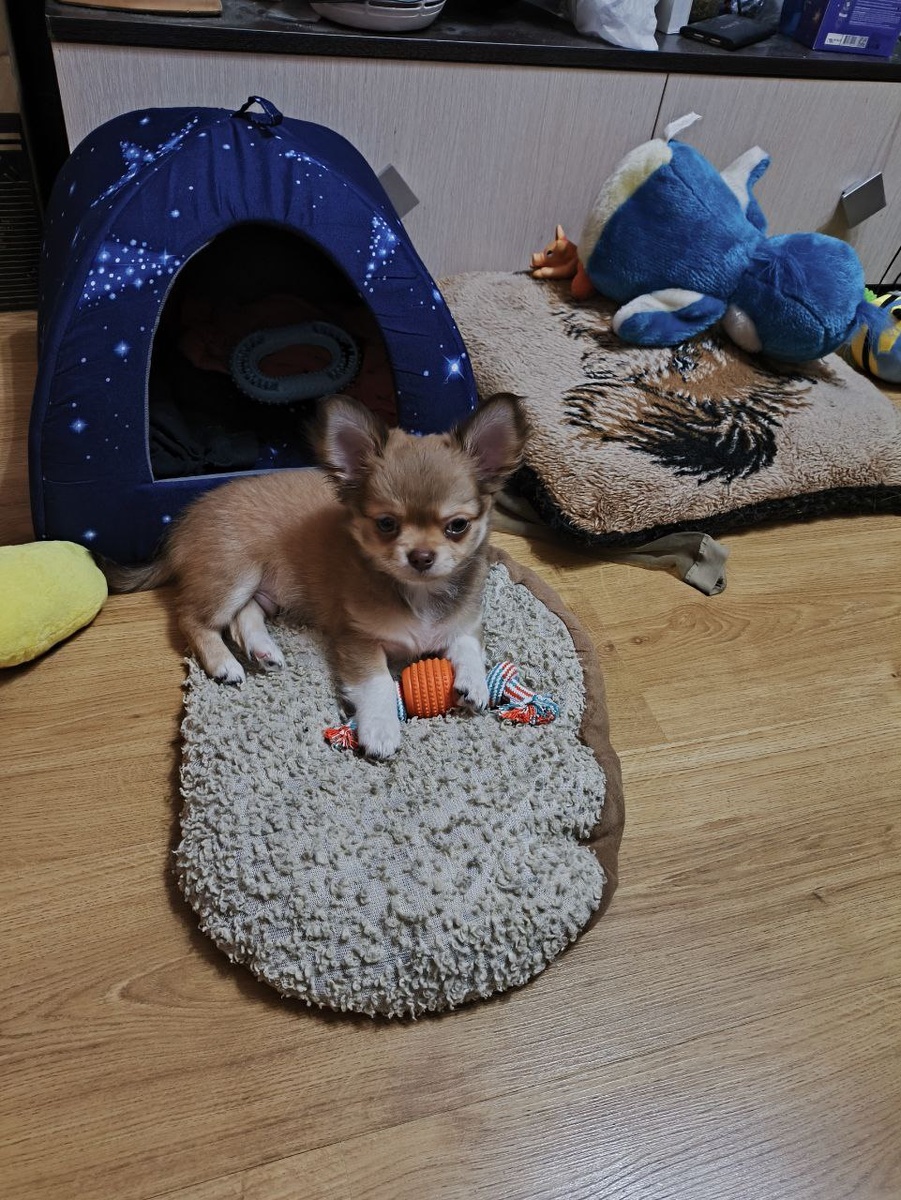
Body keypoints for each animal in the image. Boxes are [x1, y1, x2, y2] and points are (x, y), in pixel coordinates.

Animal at [106, 393, 527, 758]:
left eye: (457, 526)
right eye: (386, 524)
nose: (421, 556)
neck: (419, 594)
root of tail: (182, 524)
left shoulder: (465, 621)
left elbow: (467, 645)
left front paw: (474, 682)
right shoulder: (358, 639)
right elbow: (376, 681)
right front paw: (380, 729)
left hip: (261, 590)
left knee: (244, 617)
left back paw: (264, 650)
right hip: (234, 575)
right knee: (192, 619)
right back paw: (224, 664)